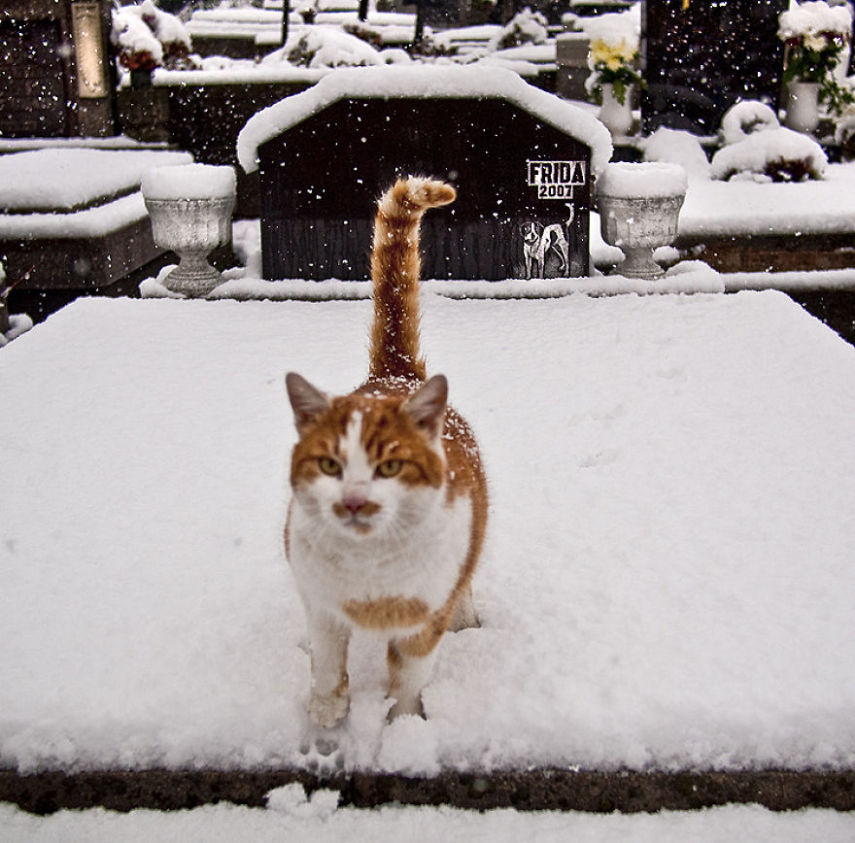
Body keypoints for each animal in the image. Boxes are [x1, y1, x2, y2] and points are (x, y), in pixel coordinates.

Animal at [286, 176, 488, 724]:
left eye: (391, 466)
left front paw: (402, 731)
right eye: (330, 465)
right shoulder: (321, 608)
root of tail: (394, 374)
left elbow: (408, 682)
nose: (354, 501)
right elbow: (327, 663)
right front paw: (327, 712)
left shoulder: (423, 622)